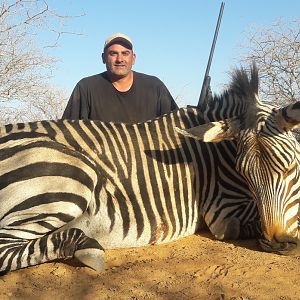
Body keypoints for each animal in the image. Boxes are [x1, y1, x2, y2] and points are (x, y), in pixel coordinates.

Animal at [0, 63, 298, 274]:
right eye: (246, 175)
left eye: (290, 169)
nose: (279, 242)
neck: (219, 153)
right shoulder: (225, 212)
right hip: (72, 176)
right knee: (5, 251)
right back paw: (87, 249)